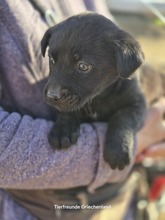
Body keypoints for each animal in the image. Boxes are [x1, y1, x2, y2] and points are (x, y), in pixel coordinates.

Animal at [41, 12, 146, 170]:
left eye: (83, 66)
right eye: (51, 59)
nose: (51, 96)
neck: (100, 97)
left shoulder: (138, 103)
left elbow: (123, 117)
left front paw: (118, 149)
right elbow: (68, 109)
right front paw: (62, 130)